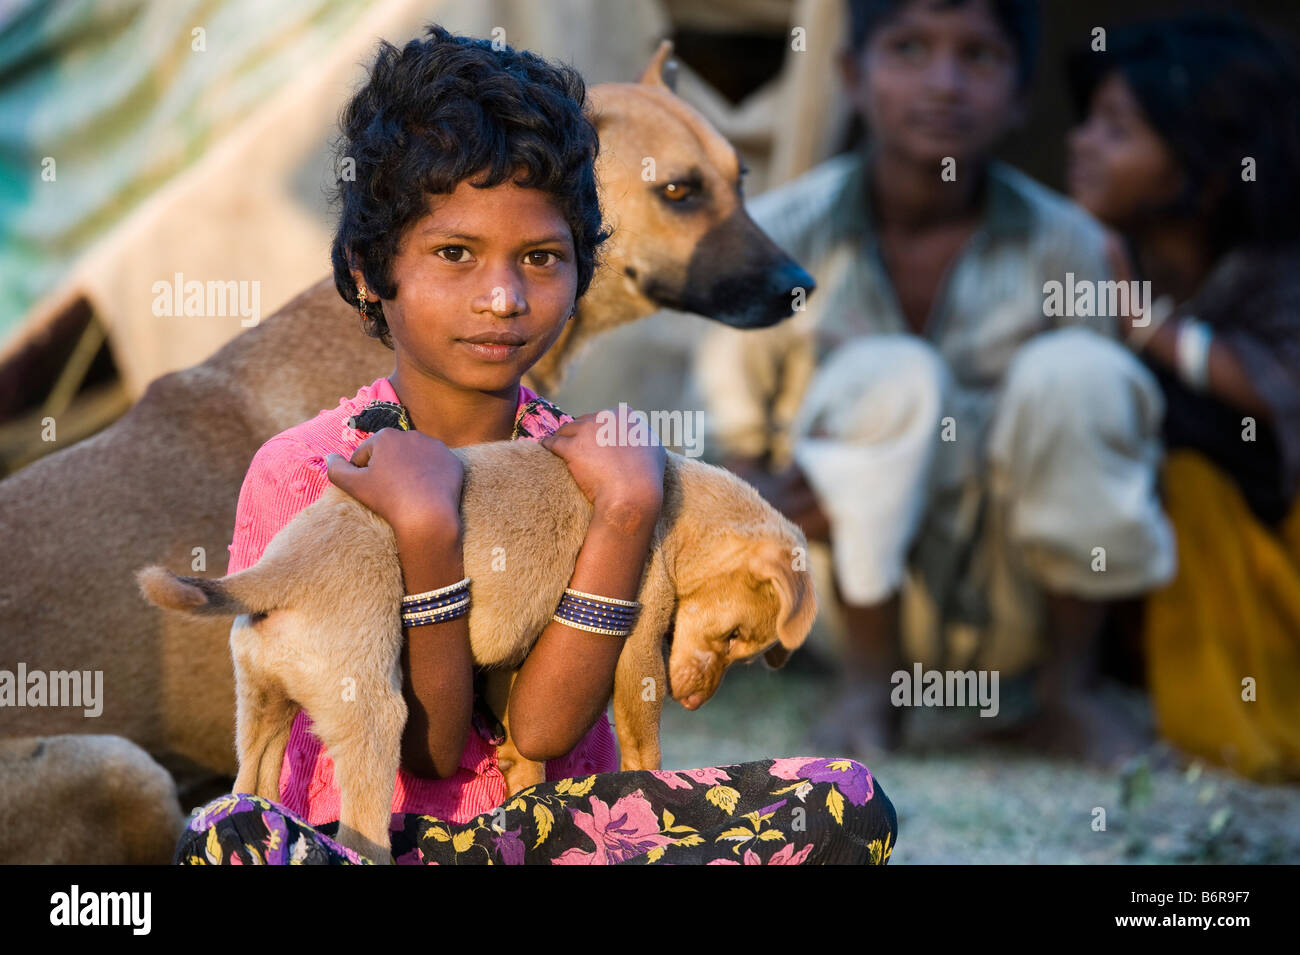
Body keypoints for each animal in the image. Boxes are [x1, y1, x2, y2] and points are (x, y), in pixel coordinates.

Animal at [137, 441, 816, 867]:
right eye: (732, 636)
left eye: (744, 651)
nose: (695, 702)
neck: (678, 497)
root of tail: (279, 572)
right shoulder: (639, 647)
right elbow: (643, 742)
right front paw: (653, 782)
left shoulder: (514, 657)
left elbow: (523, 737)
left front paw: (525, 785)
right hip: (372, 721)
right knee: (361, 833)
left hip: (263, 710)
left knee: (247, 792)